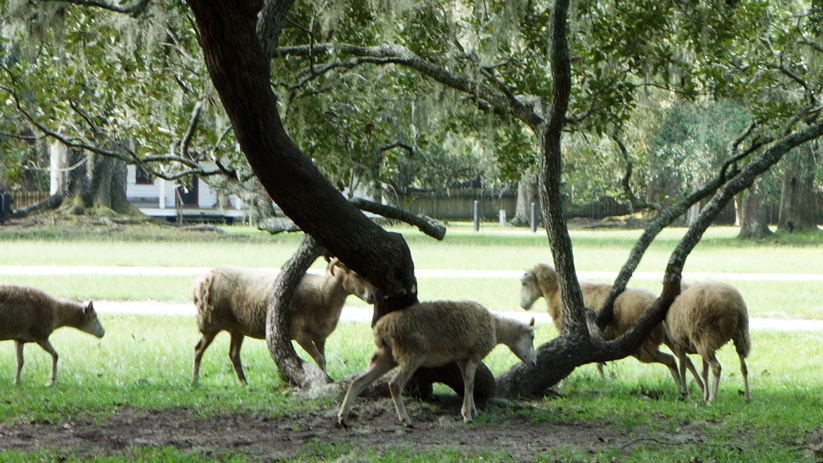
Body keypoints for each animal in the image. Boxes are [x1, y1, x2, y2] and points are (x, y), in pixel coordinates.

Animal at [192, 260, 374, 386]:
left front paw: (326, 378)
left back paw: (244, 383)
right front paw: (324, 380)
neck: (323, 293)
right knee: (198, 349)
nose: (372, 296)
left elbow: (322, 359)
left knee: (233, 354)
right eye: (356, 274)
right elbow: (319, 358)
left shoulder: (320, 337)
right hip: (210, 322)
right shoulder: (301, 334)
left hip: (237, 328)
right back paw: (194, 381)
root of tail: (201, 281)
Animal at [338, 300, 536, 428]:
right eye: (533, 336)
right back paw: (406, 421)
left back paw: (343, 417)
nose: (534, 363)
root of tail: (380, 329)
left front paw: (472, 410)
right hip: (411, 354)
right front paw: (467, 416)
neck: (496, 327)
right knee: (394, 384)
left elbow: (467, 383)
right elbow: (470, 383)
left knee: (358, 381)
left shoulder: (462, 357)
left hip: (387, 355)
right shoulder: (474, 353)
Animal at [520, 264, 684, 392]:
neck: (555, 292)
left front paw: (561, 384)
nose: (523, 306)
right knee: (683, 358)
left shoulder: (570, 336)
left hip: (644, 344)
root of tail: (655, 299)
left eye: (524, 283)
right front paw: (603, 380)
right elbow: (598, 363)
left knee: (671, 360)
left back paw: (681, 389)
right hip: (664, 337)